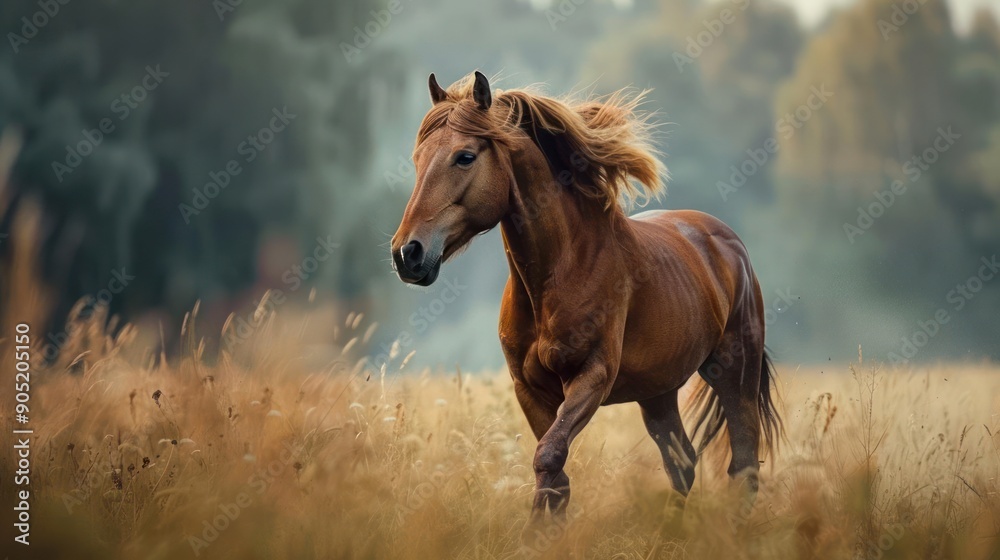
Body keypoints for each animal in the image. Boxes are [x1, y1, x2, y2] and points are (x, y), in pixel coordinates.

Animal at [390, 71, 783, 530]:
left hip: (734, 373)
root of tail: (729, 244)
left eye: (465, 157)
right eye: (418, 158)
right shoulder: (530, 389)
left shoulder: (591, 377)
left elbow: (549, 458)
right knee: (682, 462)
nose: (407, 253)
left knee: (743, 463)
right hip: (658, 392)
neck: (557, 273)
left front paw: (534, 534)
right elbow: (555, 474)